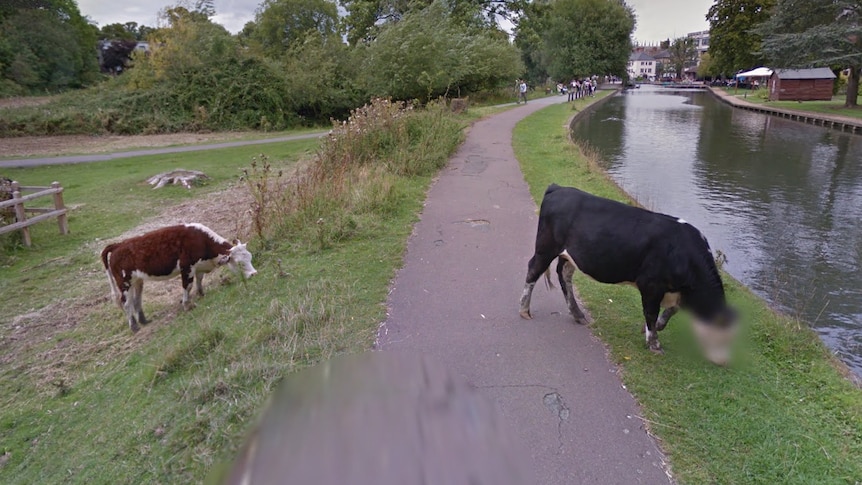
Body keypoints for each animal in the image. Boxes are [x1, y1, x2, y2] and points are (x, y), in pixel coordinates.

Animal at [101, 224, 256, 332]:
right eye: (240, 263)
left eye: (250, 257)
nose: (254, 273)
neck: (201, 240)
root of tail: (118, 245)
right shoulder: (187, 267)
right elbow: (187, 286)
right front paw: (187, 304)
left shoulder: (198, 267)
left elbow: (199, 280)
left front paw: (201, 294)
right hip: (124, 282)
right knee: (126, 303)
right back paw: (134, 326)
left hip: (137, 281)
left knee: (136, 300)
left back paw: (144, 321)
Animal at [520, 185, 736, 364]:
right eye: (722, 338)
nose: (724, 362)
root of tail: (558, 188)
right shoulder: (651, 284)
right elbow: (651, 312)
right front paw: (654, 344)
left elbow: (671, 310)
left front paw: (656, 327)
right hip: (546, 247)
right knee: (533, 270)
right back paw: (524, 310)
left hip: (569, 255)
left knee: (564, 275)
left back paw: (577, 314)